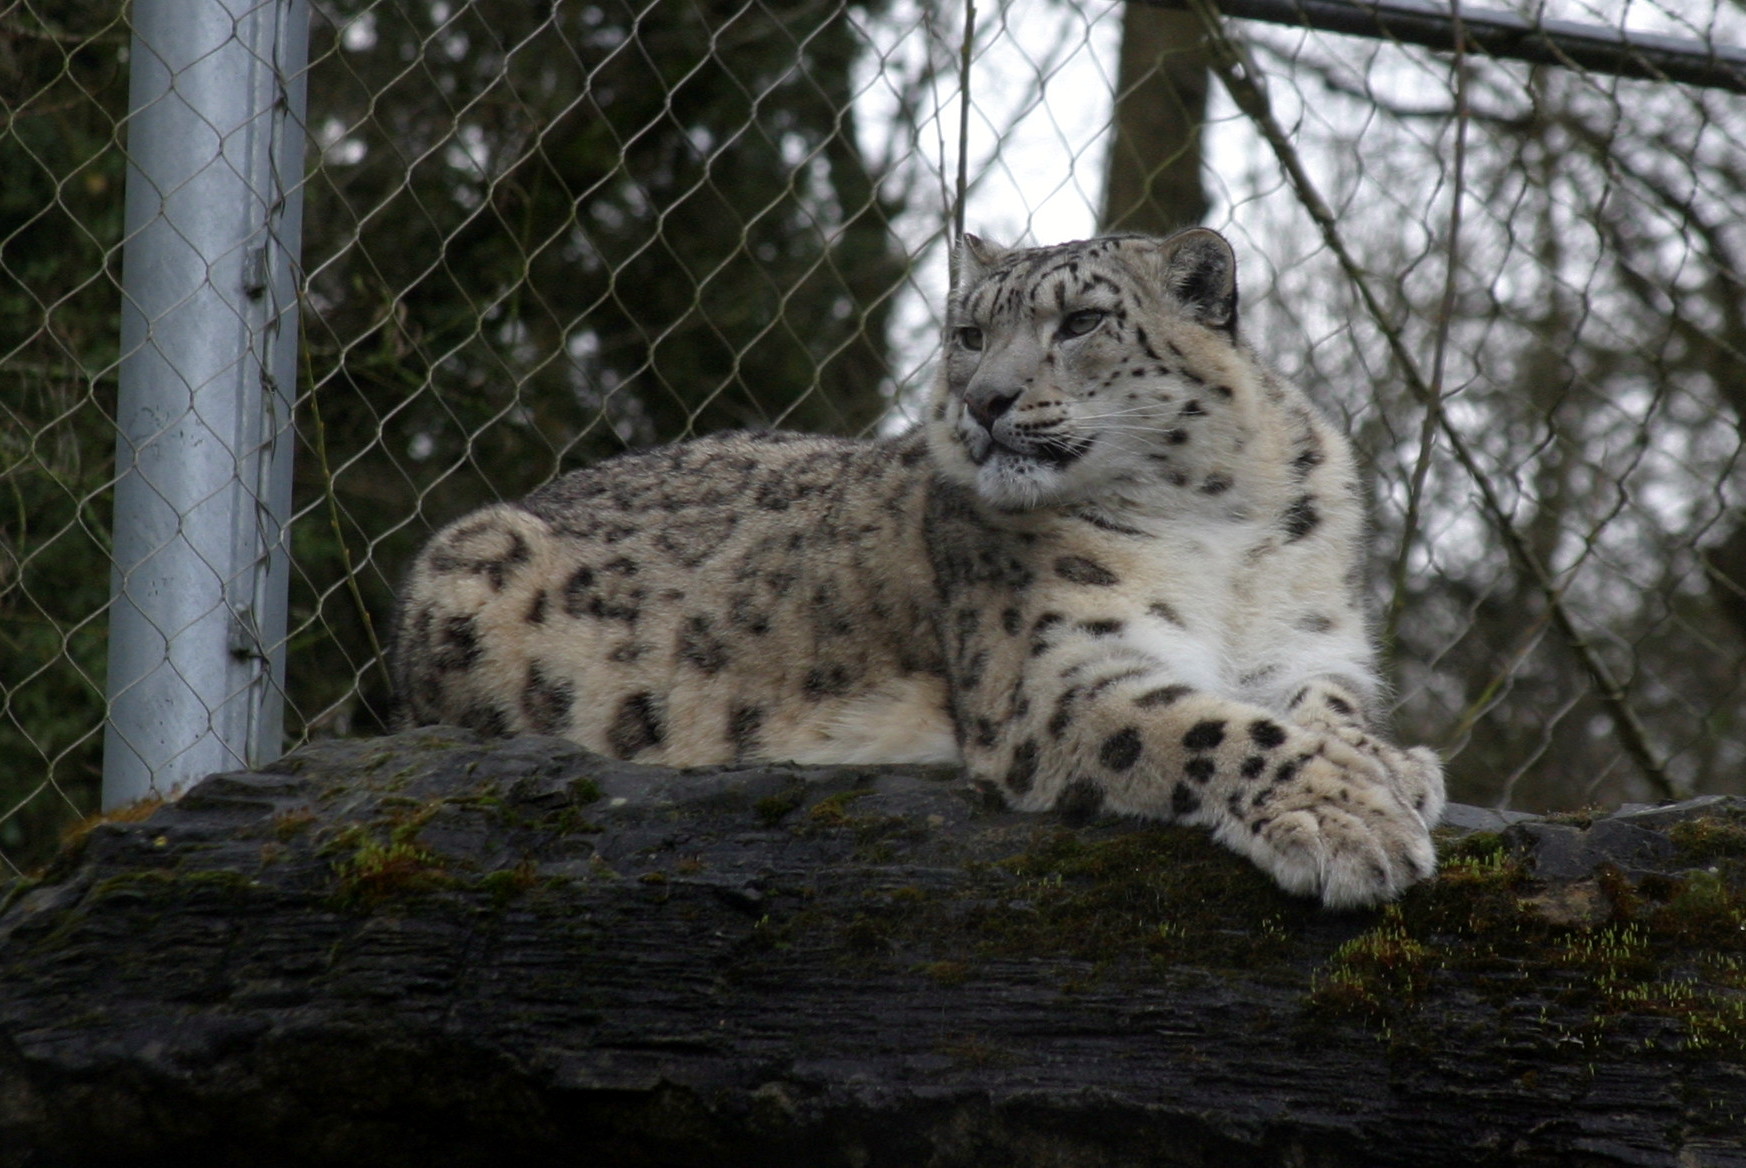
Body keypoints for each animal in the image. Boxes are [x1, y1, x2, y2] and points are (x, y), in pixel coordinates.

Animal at [389, 227, 1446, 908]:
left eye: (1081, 323)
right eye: (969, 334)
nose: (986, 400)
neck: (1214, 519)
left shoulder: (1304, 643)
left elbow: (1322, 707)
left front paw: (1394, 767)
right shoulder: (1056, 672)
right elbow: (1216, 728)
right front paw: (1349, 819)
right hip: (473, 561)